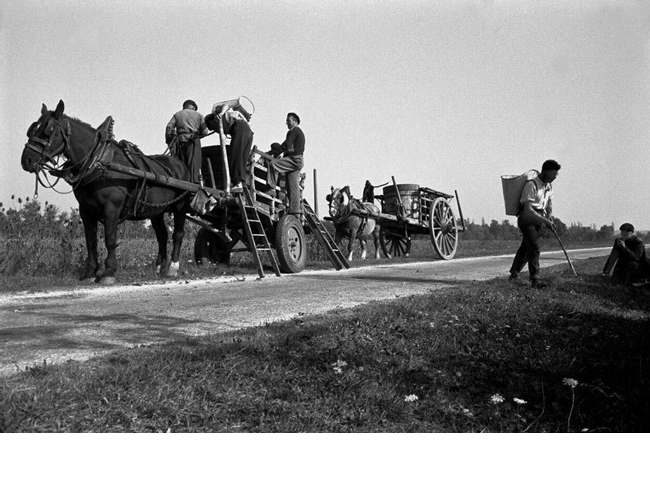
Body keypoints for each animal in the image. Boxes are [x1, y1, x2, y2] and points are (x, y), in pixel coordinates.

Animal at [20, 99, 192, 284]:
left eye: (48, 131)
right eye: (32, 129)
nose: (26, 160)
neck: (98, 163)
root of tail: (180, 164)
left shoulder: (112, 208)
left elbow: (110, 239)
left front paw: (108, 272)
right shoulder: (86, 210)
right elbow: (91, 241)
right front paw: (90, 272)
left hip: (180, 207)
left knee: (178, 234)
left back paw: (173, 267)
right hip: (156, 211)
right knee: (162, 235)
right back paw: (159, 267)